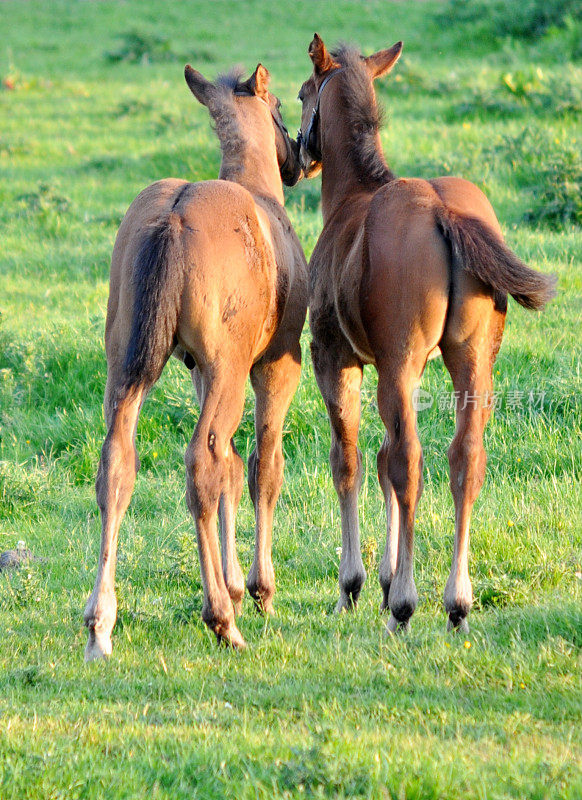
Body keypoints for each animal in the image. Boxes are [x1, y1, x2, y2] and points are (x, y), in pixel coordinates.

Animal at [85, 65, 310, 660]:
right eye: (281, 108)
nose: (300, 158)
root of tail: (174, 216)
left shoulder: (197, 371)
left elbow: (232, 464)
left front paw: (233, 582)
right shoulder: (274, 365)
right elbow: (259, 464)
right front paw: (256, 590)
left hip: (127, 366)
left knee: (118, 463)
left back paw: (100, 624)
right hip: (231, 371)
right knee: (203, 463)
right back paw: (222, 620)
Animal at [298, 37, 560, 636]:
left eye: (301, 94)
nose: (295, 157)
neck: (353, 198)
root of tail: (445, 211)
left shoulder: (337, 358)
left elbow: (350, 459)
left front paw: (356, 585)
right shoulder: (403, 369)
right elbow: (379, 459)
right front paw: (386, 575)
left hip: (397, 362)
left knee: (410, 461)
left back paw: (404, 607)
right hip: (471, 361)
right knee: (465, 458)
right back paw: (457, 604)